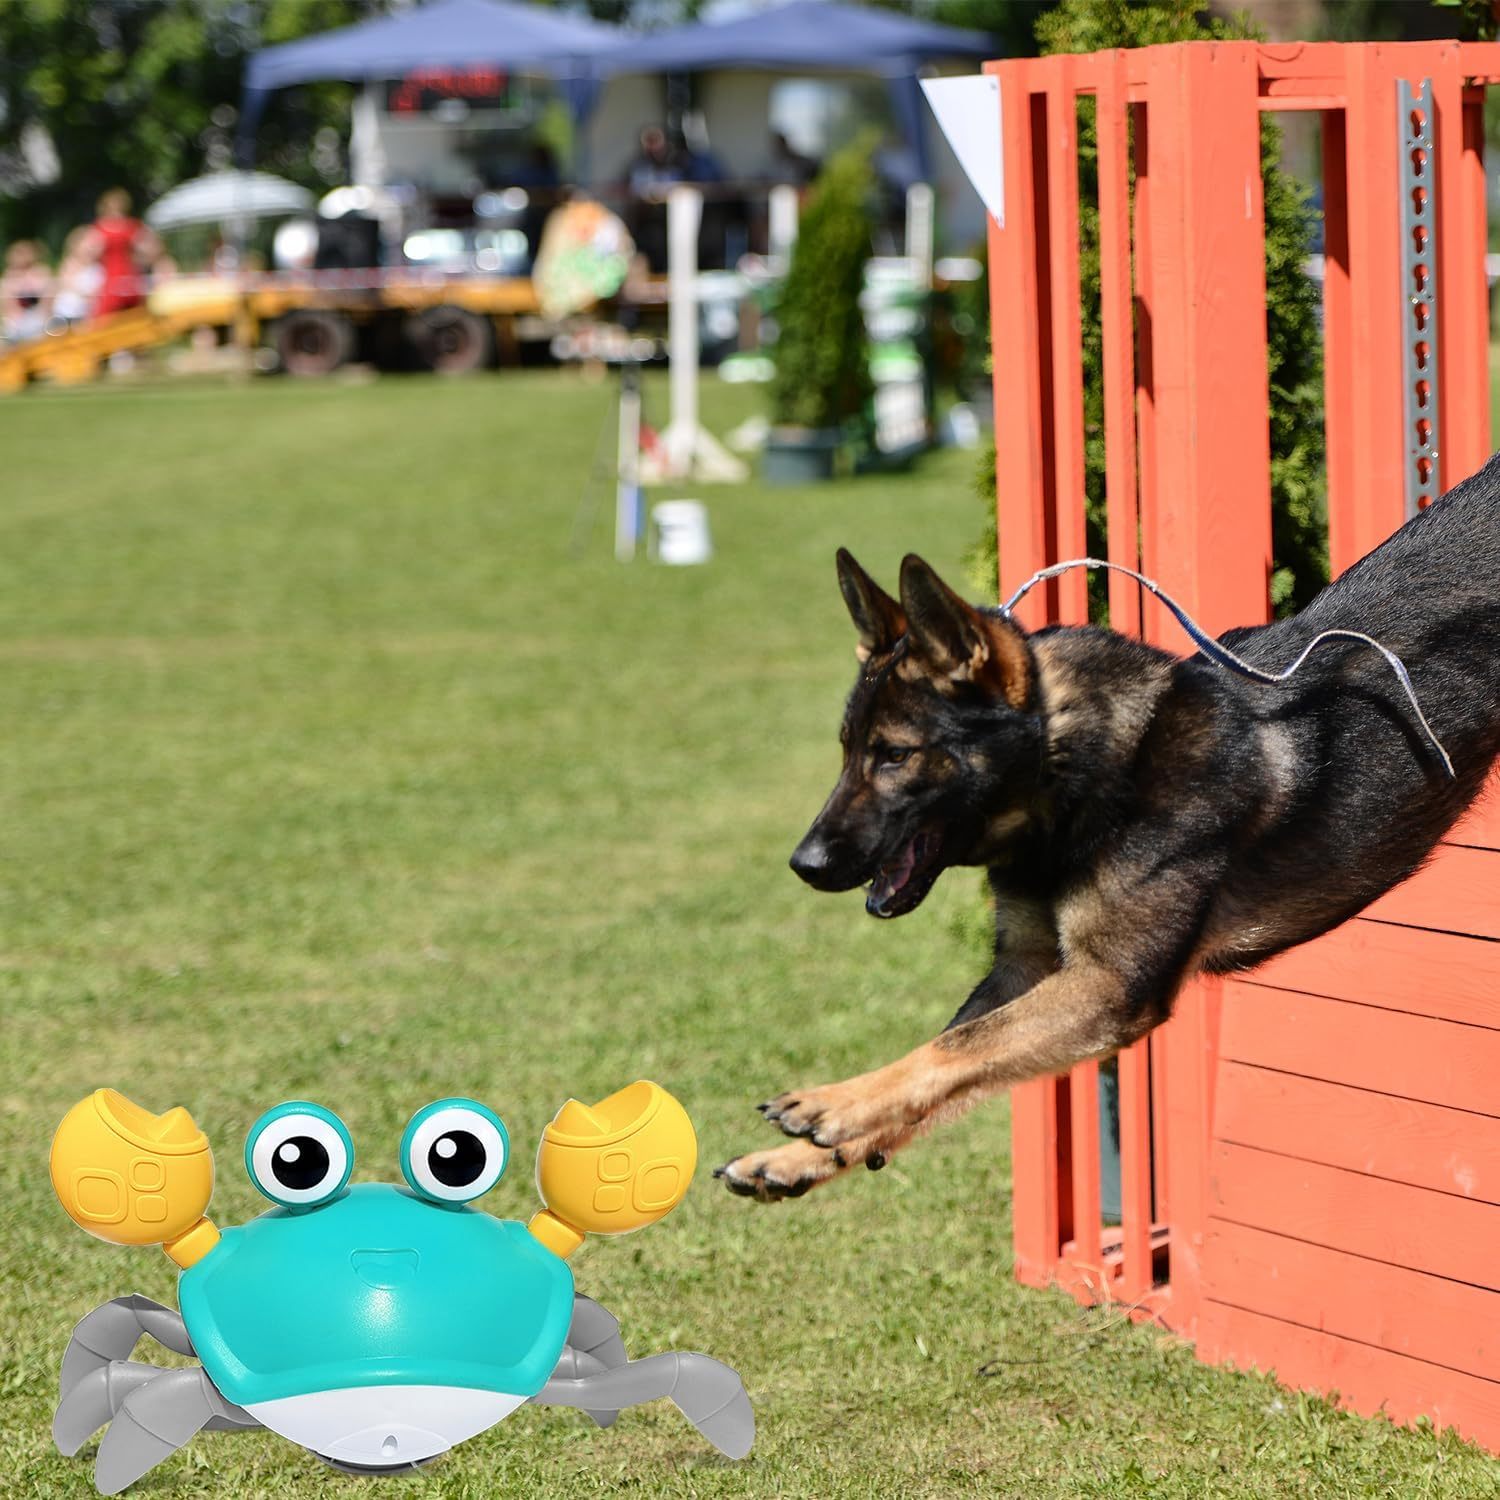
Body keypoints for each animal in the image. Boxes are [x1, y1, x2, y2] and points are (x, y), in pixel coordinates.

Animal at [714, 456, 1500, 1194]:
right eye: (848, 751)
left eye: (895, 756)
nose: (805, 864)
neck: (1082, 776)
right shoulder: (1027, 969)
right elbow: (956, 1052)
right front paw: (801, 1156)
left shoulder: (1107, 986)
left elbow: (957, 1048)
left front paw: (832, 1104)